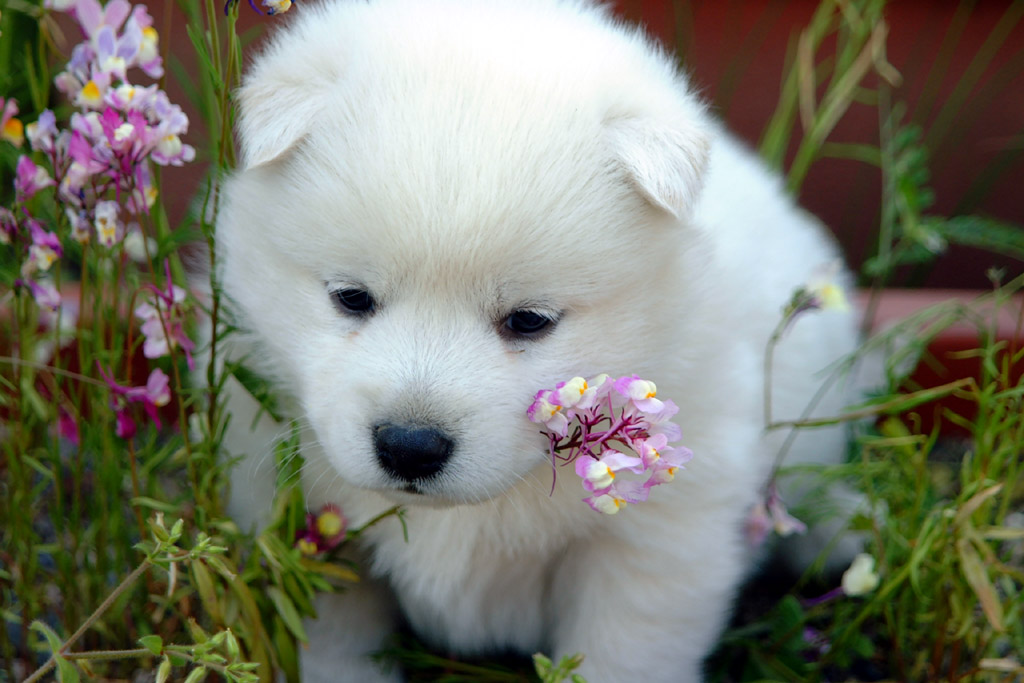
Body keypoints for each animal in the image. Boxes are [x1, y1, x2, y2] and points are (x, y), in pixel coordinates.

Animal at [218, 2, 864, 679]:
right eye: (351, 297)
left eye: (529, 320)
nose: (410, 447)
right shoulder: (306, 527)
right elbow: (334, 645)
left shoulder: (653, 544)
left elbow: (622, 653)